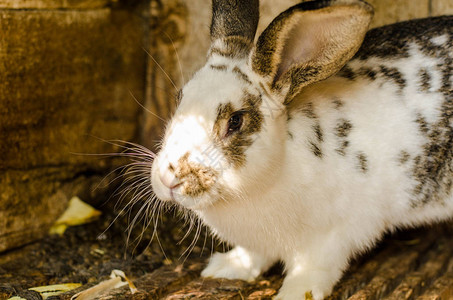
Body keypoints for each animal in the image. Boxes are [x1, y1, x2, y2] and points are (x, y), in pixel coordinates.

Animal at [149, 0, 452, 298]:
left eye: (235, 121)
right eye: (179, 98)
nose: (167, 178)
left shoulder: (334, 236)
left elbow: (313, 269)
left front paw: (293, 293)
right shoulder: (259, 243)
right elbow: (253, 256)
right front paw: (225, 268)